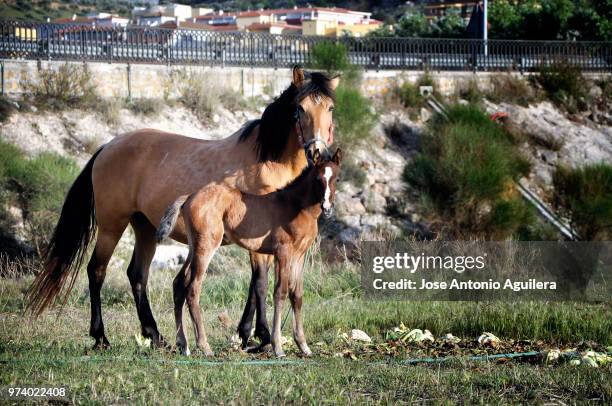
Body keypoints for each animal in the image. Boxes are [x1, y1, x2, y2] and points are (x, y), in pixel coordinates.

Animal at [155, 148, 342, 356]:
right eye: (318, 178)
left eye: (337, 178)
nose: (327, 207)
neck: (296, 206)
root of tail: (189, 196)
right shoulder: (283, 252)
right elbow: (280, 292)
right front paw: (277, 347)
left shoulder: (299, 255)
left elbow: (297, 295)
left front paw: (303, 346)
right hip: (206, 246)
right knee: (193, 288)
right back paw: (204, 346)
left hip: (194, 247)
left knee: (179, 283)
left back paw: (184, 345)